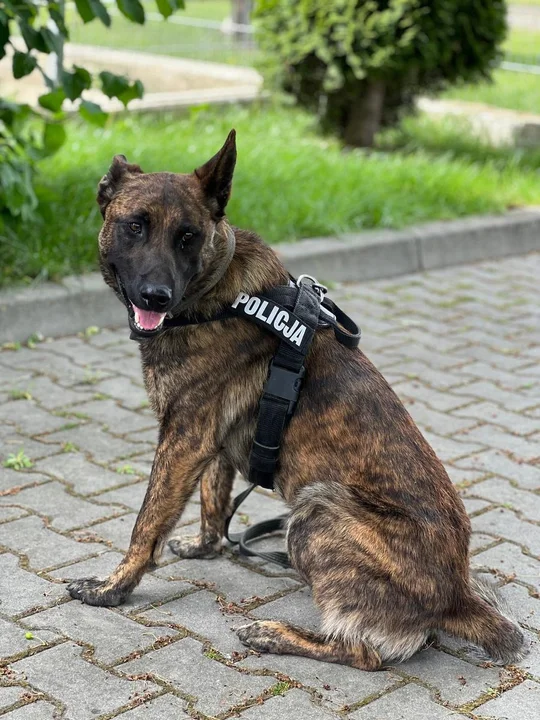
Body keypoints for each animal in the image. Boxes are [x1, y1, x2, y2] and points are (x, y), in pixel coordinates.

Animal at [67, 130, 527, 670]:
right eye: (135, 227)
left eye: (188, 237)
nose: (156, 296)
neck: (218, 296)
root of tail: (456, 596)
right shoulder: (210, 444)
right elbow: (213, 499)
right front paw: (206, 546)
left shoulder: (183, 441)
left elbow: (145, 524)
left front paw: (111, 588)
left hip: (315, 511)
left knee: (363, 653)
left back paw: (275, 633)